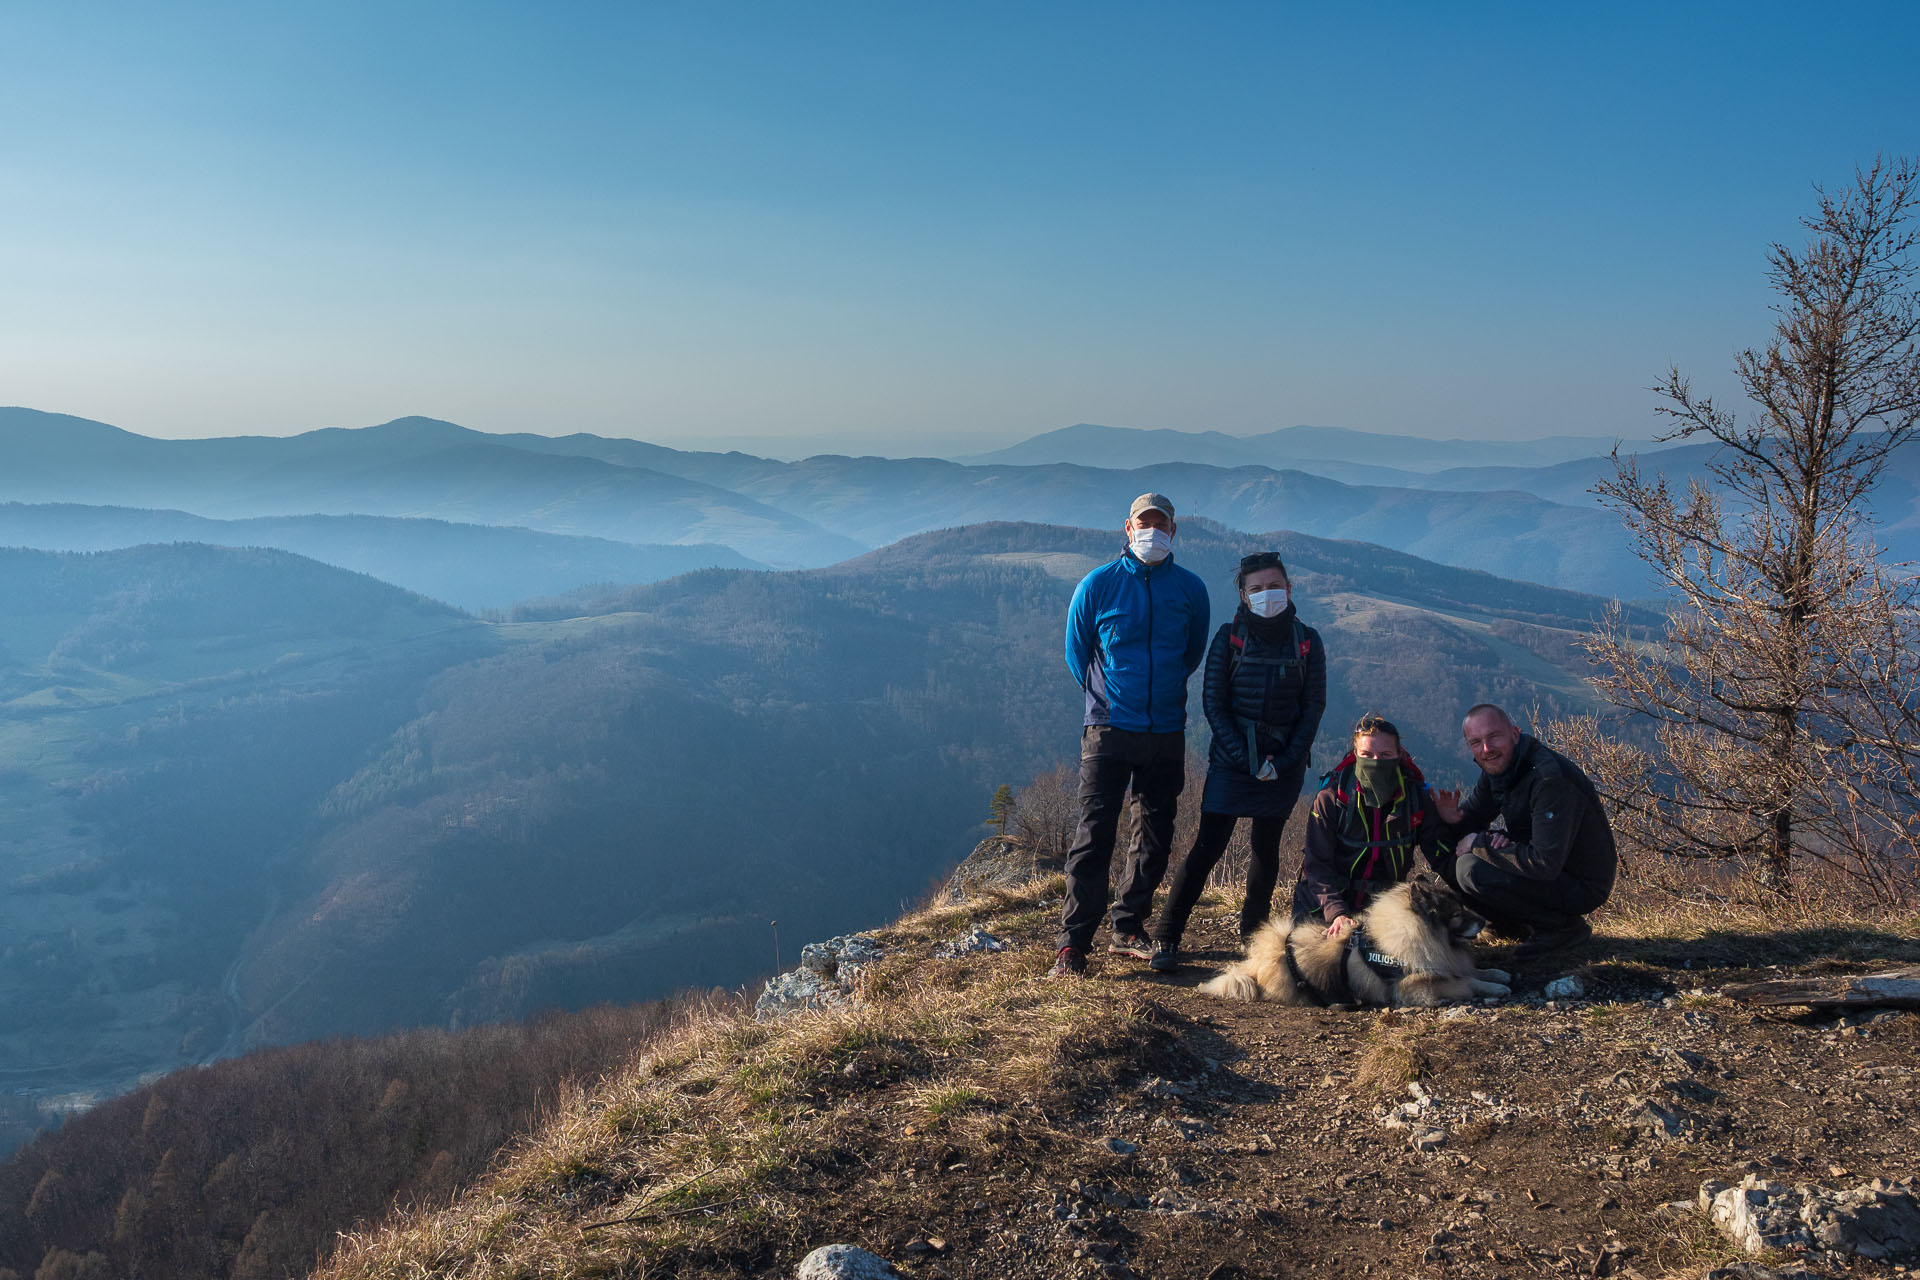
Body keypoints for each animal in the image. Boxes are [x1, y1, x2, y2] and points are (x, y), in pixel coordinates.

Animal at [1198, 875, 1512, 1005]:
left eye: (1463, 907)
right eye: (1457, 914)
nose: (1485, 922)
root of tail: (1254, 966)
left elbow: (1474, 971)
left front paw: (1498, 973)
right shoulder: (1416, 985)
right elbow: (1467, 982)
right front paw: (1496, 987)